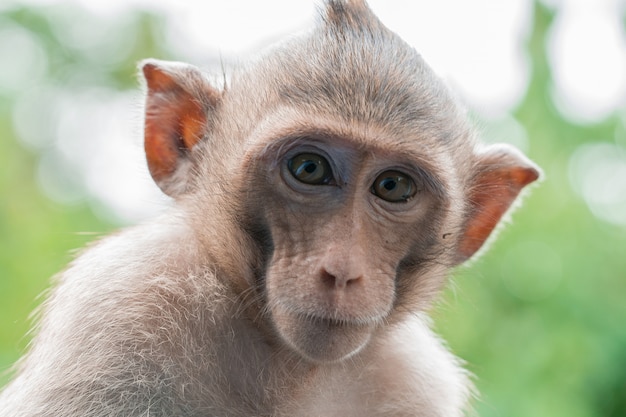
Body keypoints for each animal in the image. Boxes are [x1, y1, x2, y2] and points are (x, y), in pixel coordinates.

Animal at [0, 1, 540, 414]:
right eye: (309, 169)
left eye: (392, 186)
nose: (343, 271)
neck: (284, 364)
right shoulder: (118, 312)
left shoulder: (412, 383)